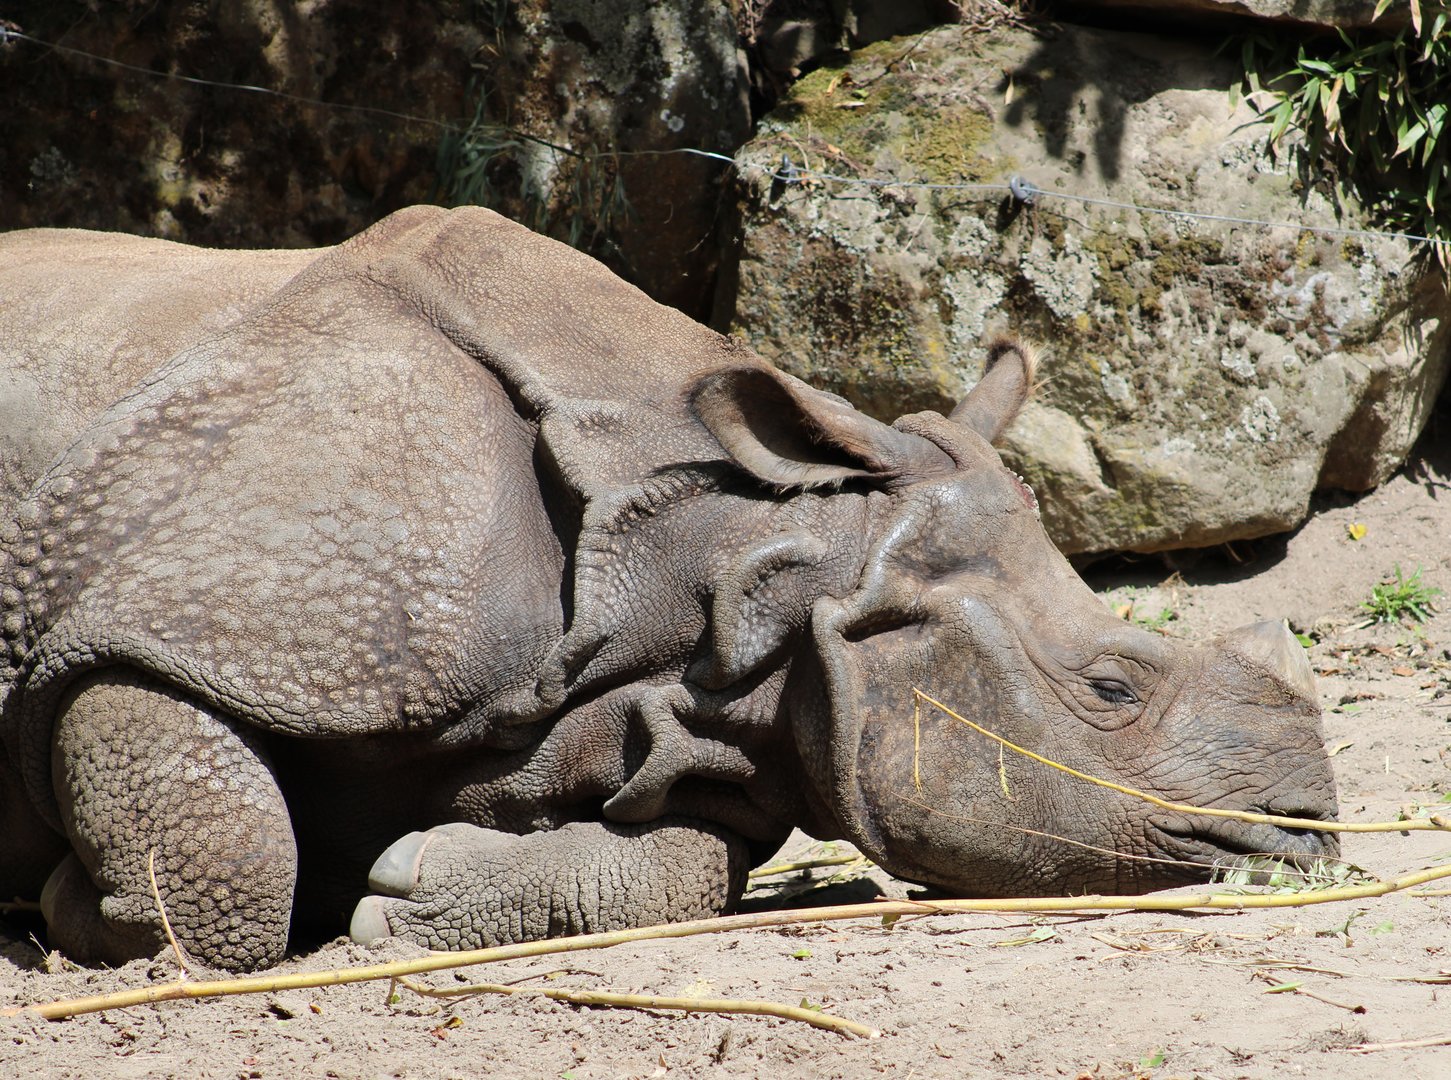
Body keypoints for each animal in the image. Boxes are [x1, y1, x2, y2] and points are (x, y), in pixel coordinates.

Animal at [0, 206, 1337, 971]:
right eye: (1111, 686)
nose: (1310, 827)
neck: (737, 552)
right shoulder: (195, 609)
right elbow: (210, 832)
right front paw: (81, 923)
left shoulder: (729, 715)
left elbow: (682, 863)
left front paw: (399, 902)